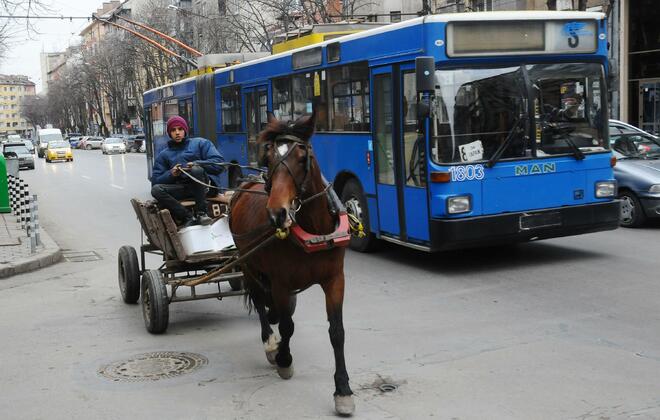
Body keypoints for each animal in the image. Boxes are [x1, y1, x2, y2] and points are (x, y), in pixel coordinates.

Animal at [228, 113, 356, 416]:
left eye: (301, 157)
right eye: (268, 156)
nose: (277, 213)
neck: (315, 227)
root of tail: (245, 184)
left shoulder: (335, 280)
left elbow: (337, 332)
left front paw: (343, 389)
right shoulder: (281, 282)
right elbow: (287, 326)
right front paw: (284, 359)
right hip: (247, 263)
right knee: (259, 301)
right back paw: (269, 342)